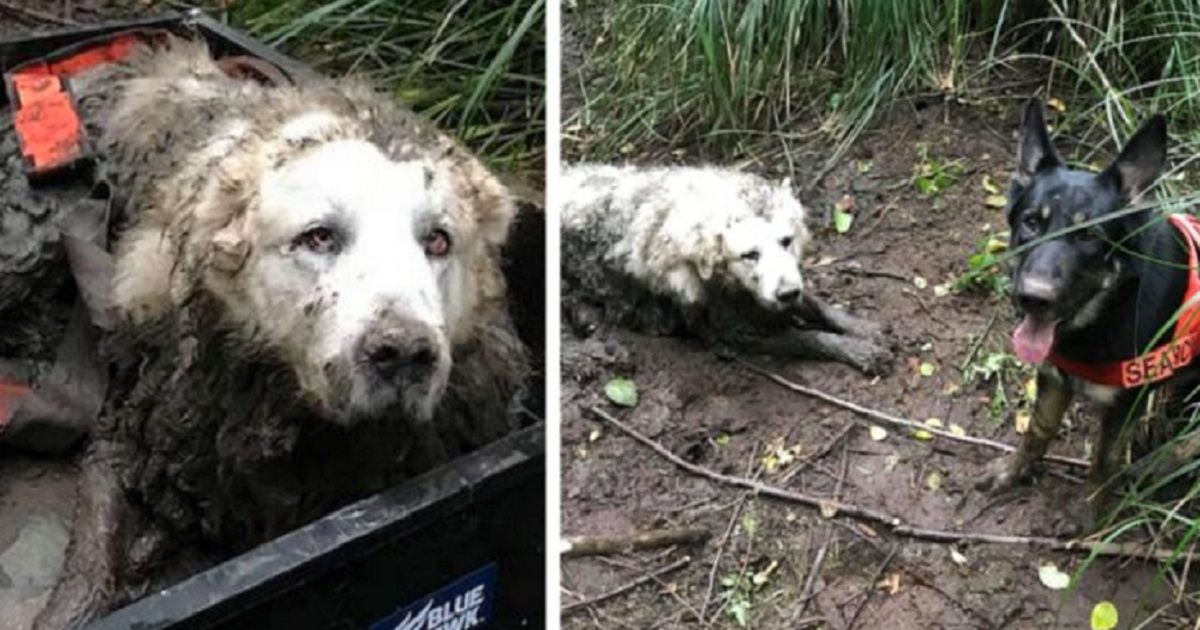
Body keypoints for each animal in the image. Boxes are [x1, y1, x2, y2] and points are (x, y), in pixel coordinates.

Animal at [561, 162, 892, 374]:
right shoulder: (732, 330)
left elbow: (817, 305)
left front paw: (863, 328)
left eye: (786, 241)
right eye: (749, 254)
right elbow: (807, 338)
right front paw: (859, 350)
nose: (786, 293)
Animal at [974, 99, 1200, 520]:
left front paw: (1090, 516)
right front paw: (1013, 471)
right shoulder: (1054, 377)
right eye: (1031, 223)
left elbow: (1101, 462)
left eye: (1088, 236)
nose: (1033, 298)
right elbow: (1037, 431)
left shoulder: (1120, 407)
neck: (1105, 311)